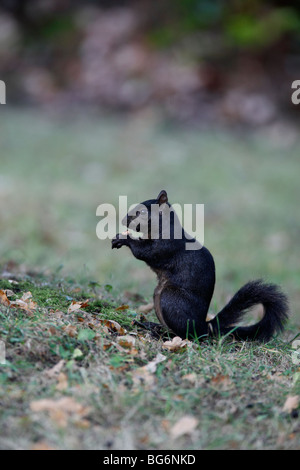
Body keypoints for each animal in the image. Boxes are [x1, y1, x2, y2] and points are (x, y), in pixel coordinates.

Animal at [112, 190, 288, 342]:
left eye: (142, 212)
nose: (123, 221)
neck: (165, 228)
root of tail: (205, 327)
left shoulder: (166, 246)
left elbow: (144, 252)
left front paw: (124, 238)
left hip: (170, 299)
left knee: (187, 335)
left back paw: (161, 334)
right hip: (158, 296)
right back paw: (150, 325)